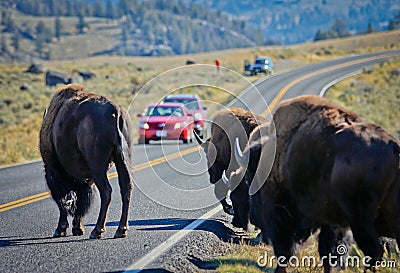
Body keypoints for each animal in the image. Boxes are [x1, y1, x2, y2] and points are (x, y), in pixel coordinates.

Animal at [39, 83, 134, 238]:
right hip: (122, 159)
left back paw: (97, 231)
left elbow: (62, 201)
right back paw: (121, 230)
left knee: (106, 191)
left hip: (98, 167)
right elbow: (82, 200)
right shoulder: (85, 178)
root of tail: (114, 110)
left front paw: (60, 229)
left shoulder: (54, 172)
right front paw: (77, 228)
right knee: (126, 187)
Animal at [231, 95, 400, 272]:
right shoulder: (333, 223)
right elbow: (331, 252)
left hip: (361, 218)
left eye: (250, 175)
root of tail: (394, 148)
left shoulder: (281, 214)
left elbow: (286, 249)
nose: (254, 218)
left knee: (373, 250)